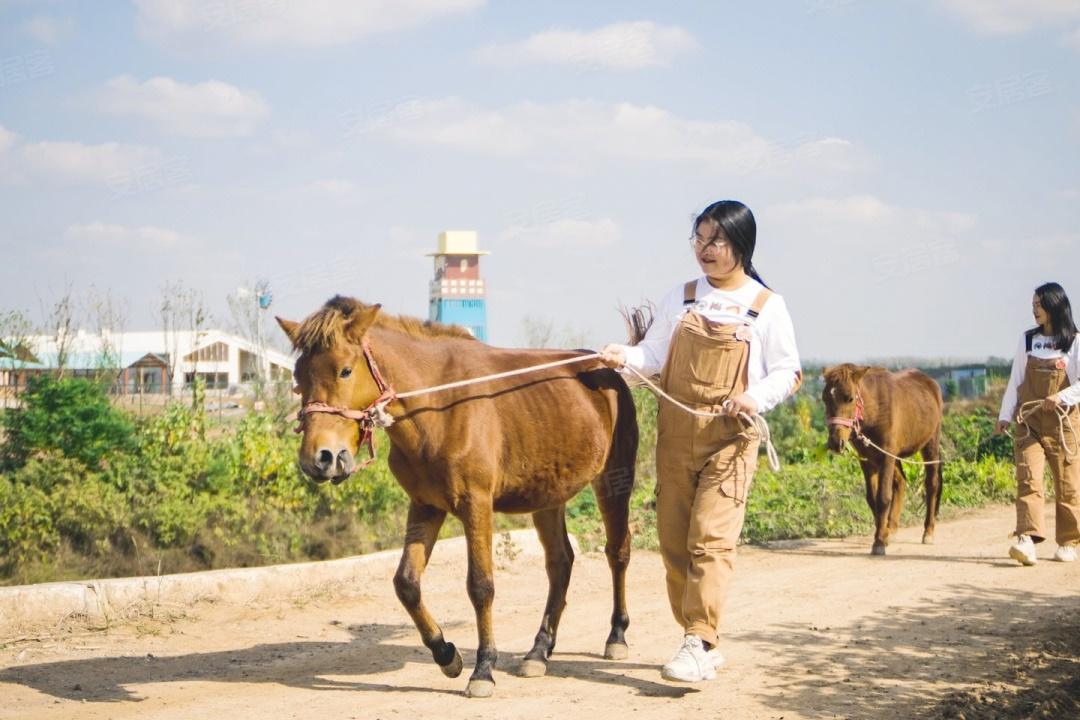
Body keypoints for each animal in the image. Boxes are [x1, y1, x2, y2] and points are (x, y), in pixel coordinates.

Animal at [276, 295, 639, 695]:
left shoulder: (476, 505)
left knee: (617, 552)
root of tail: (608, 371)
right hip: (548, 495)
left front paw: (483, 668)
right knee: (560, 563)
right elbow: (406, 583)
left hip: (614, 481)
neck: (439, 403)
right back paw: (539, 651)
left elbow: (481, 586)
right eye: (298, 378)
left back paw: (616, 635)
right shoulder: (425, 506)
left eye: (344, 371)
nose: (319, 459)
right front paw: (445, 653)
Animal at [820, 367, 941, 557]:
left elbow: (883, 497)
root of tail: (929, 382)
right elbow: (872, 498)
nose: (835, 442)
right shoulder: (867, 459)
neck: (875, 409)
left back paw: (928, 531)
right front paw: (883, 534)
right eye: (825, 398)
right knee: (901, 482)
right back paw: (892, 527)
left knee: (931, 485)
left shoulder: (887, 457)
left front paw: (879, 542)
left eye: (850, 398)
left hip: (931, 443)